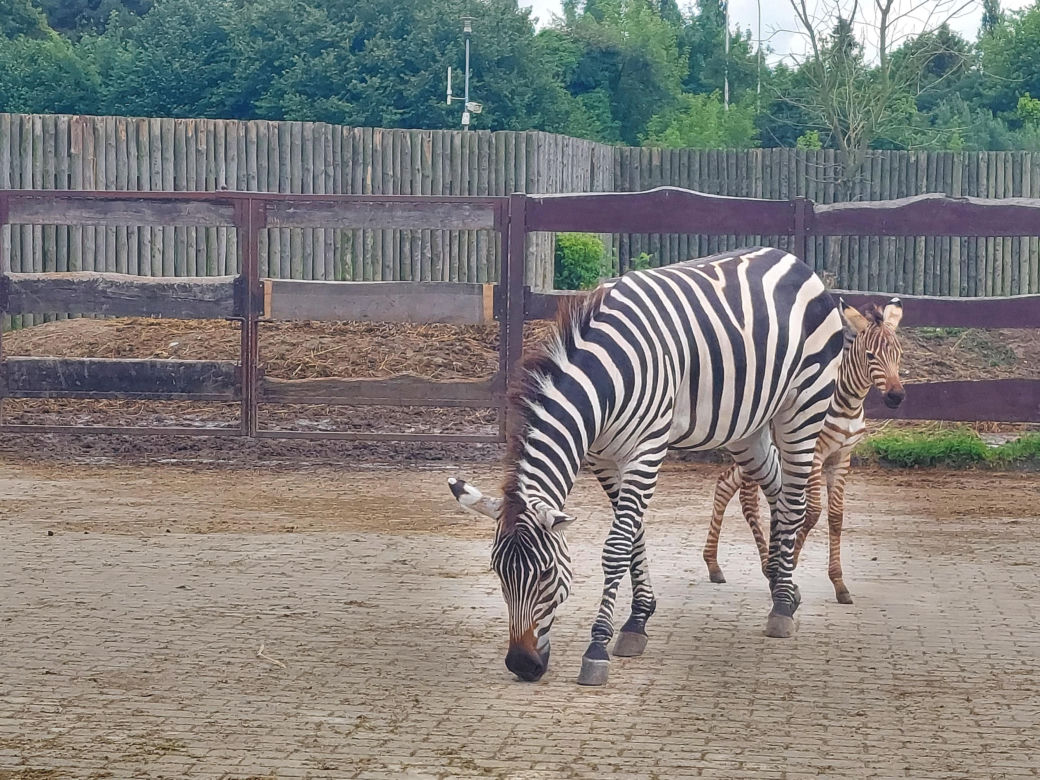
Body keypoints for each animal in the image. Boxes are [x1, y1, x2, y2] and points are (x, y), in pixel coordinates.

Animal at [449, 247, 844, 686]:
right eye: (498, 573)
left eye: (547, 574)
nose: (522, 665)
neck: (604, 380)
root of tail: (792, 259)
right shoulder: (603, 457)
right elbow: (635, 535)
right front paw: (637, 622)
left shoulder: (647, 449)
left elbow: (617, 545)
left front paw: (598, 647)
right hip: (748, 427)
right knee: (775, 486)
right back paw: (782, 587)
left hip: (803, 407)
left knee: (794, 499)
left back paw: (782, 607)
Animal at [701, 298, 904, 604]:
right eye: (870, 356)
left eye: (899, 354)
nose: (896, 396)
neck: (847, 404)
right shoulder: (815, 455)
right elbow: (812, 512)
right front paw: (791, 563)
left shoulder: (841, 458)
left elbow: (835, 517)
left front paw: (839, 584)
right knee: (747, 500)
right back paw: (766, 567)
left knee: (725, 483)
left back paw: (714, 564)